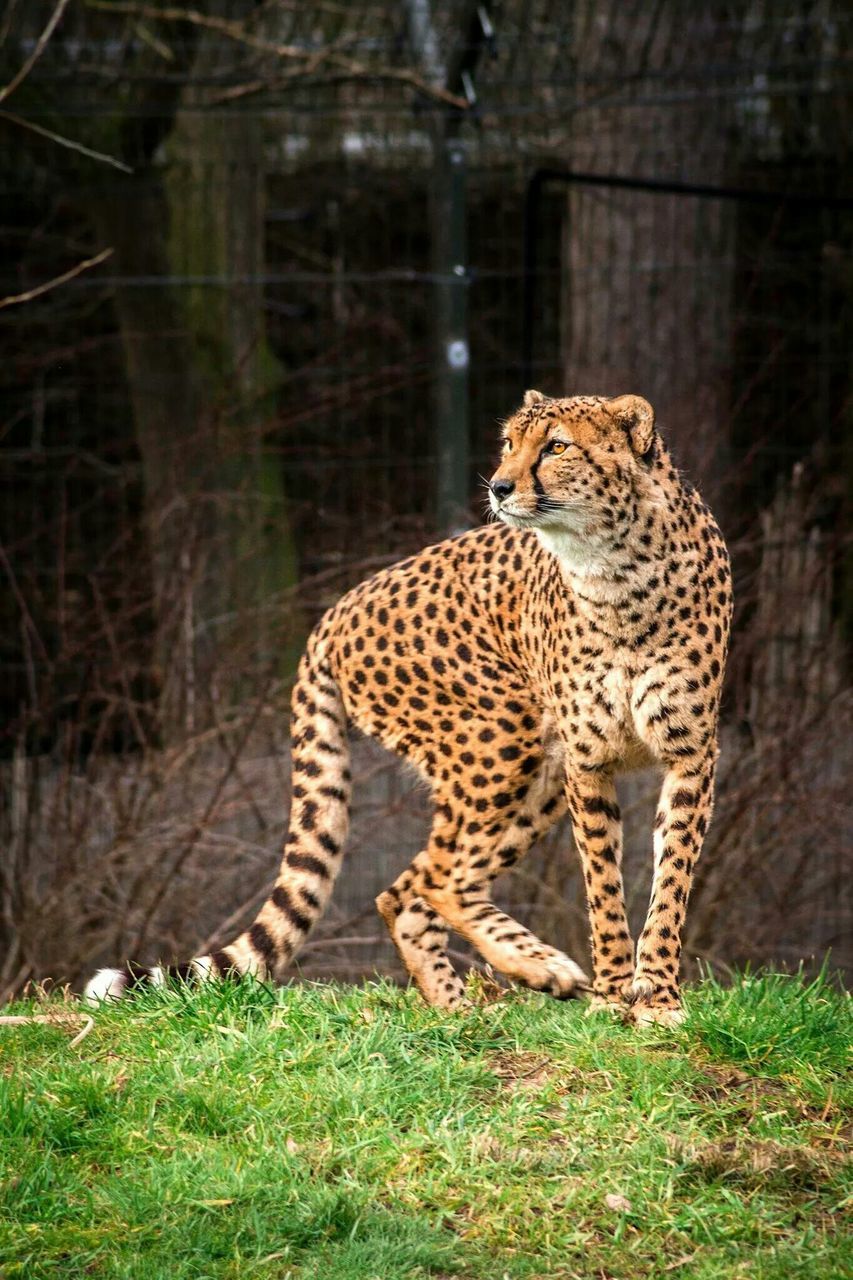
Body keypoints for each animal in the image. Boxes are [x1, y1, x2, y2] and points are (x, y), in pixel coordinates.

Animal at [86, 386, 727, 1018]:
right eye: (509, 444)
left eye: (556, 447)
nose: (498, 486)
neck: (614, 567)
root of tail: (339, 607)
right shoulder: (588, 762)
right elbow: (603, 884)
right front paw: (615, 996)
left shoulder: (690, 754)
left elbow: (672, 876)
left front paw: (657, 997)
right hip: (503, 738)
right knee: (442, 881)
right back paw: (536, 969)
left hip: (534, 773)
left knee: (407, 891)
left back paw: (459, 1010)